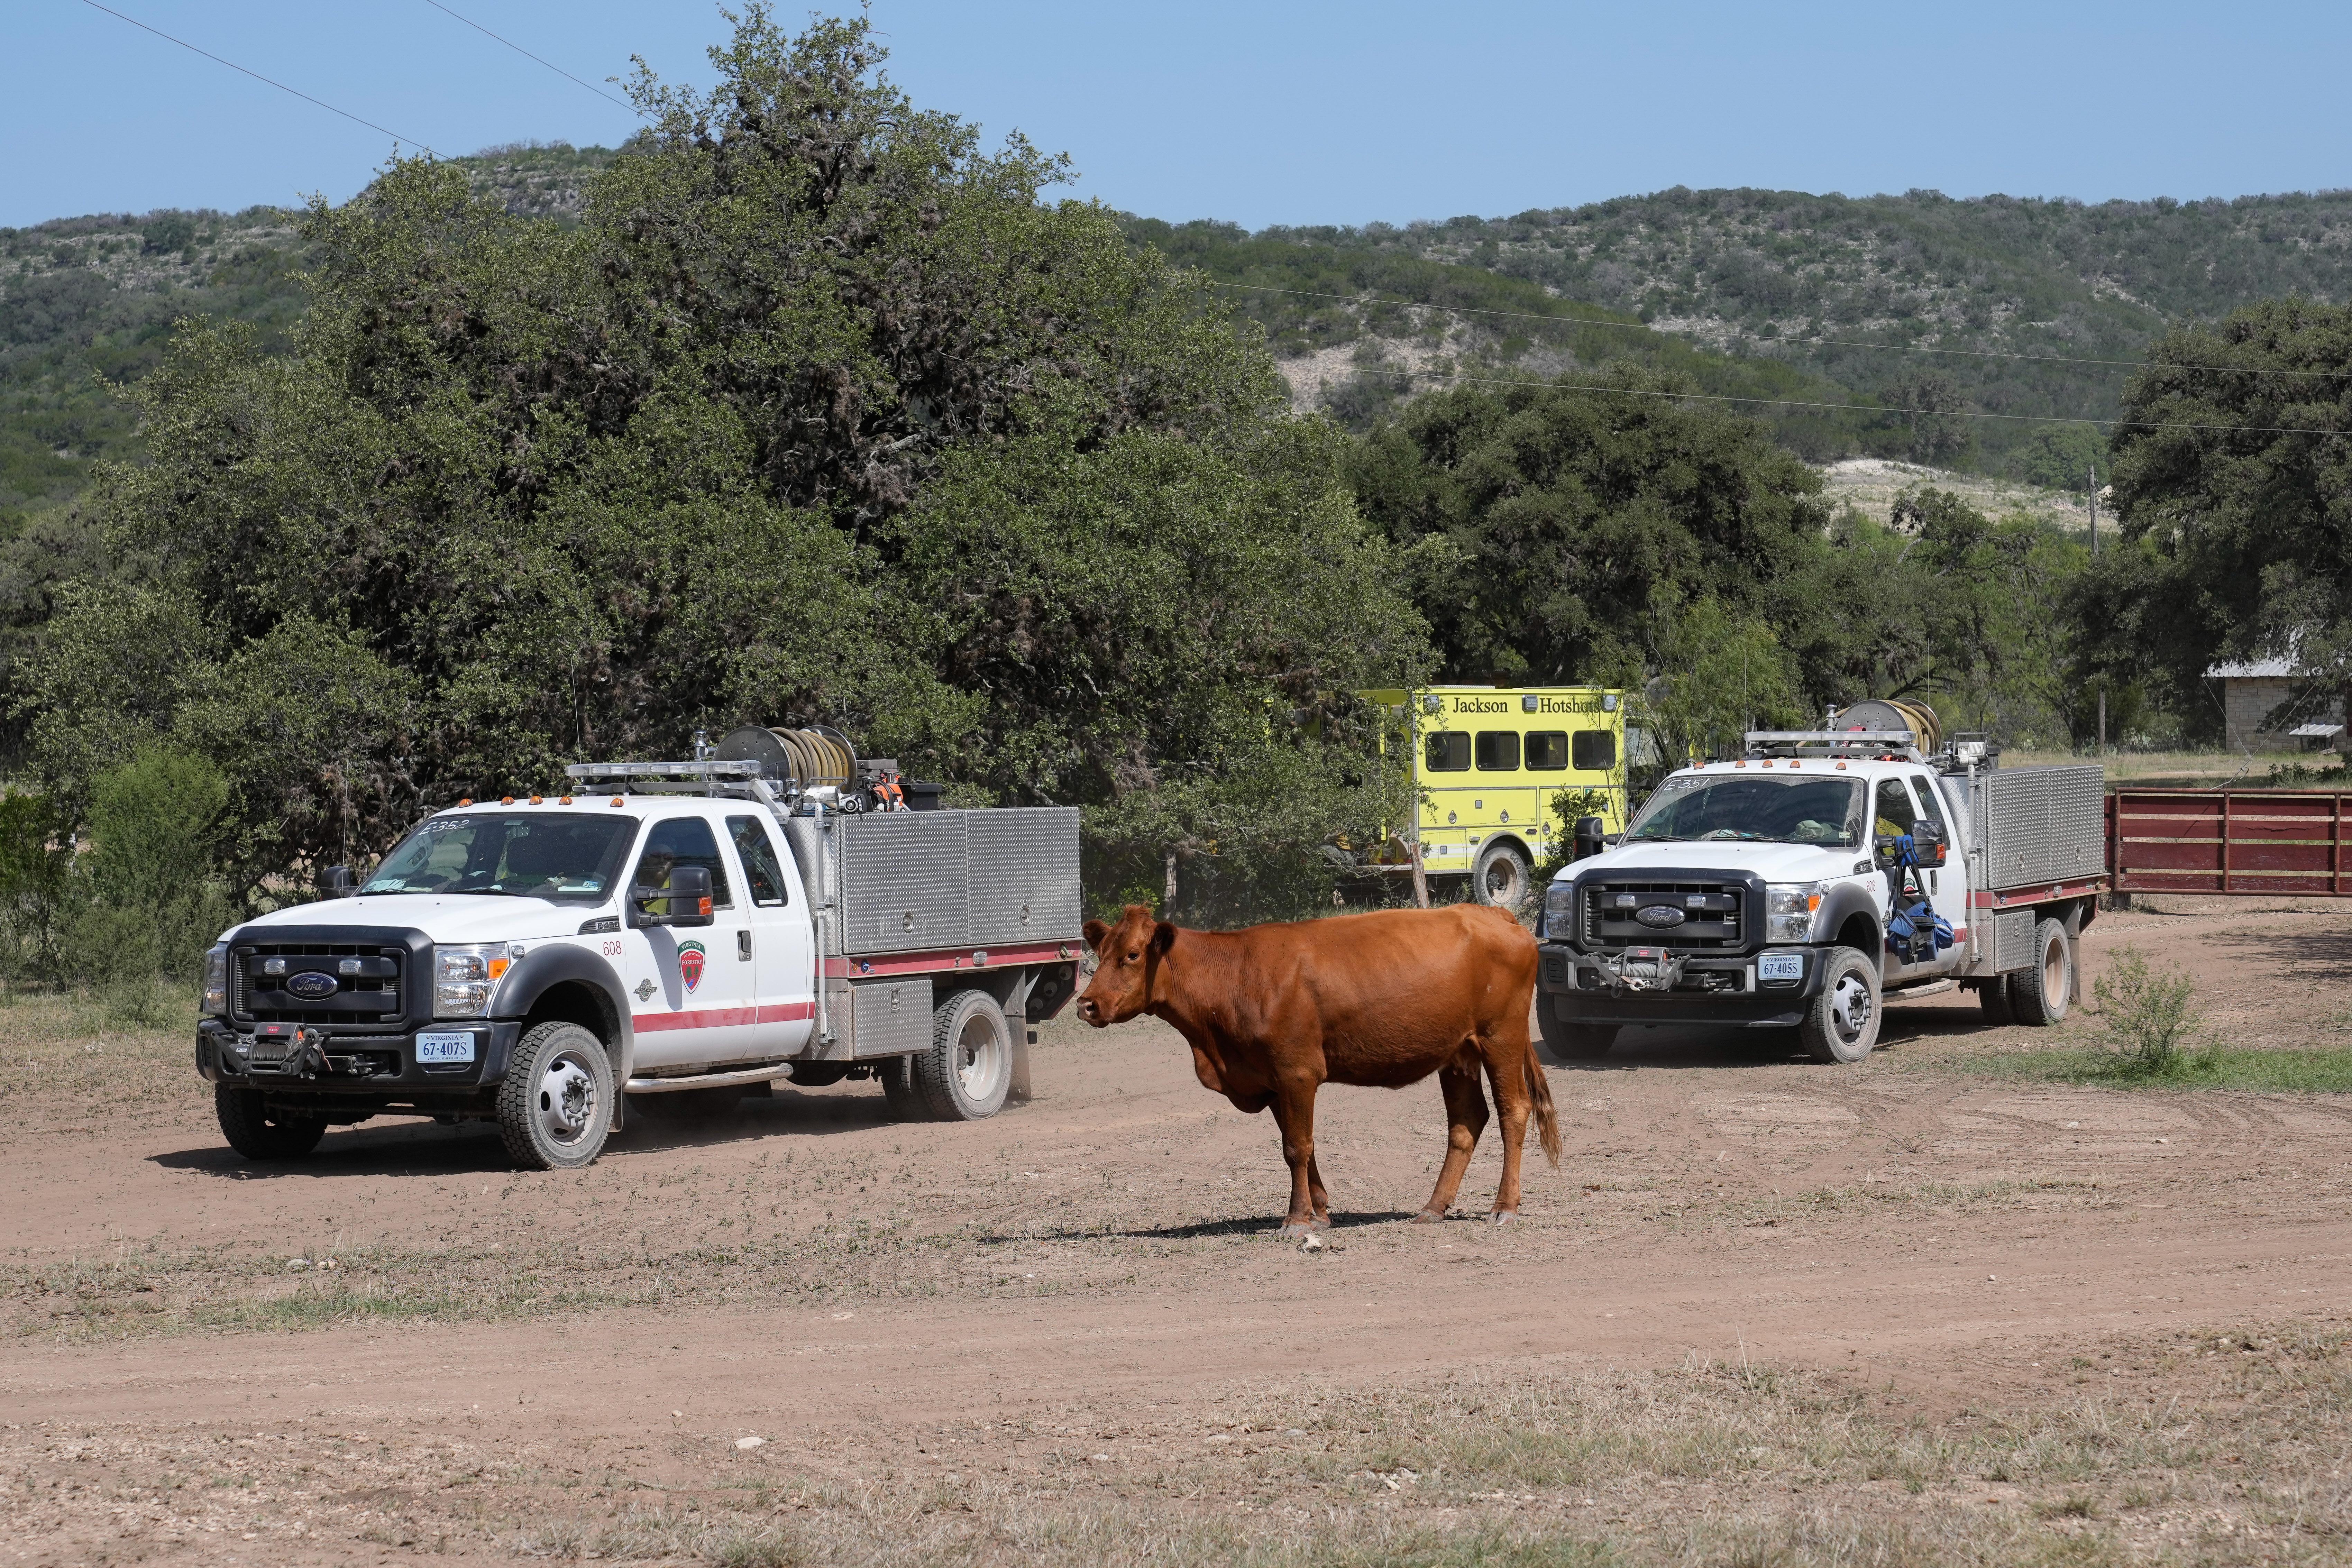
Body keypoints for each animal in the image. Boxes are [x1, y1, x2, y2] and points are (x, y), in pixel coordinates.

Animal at [1072, 907, 1552, 1241]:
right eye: (1100, 955)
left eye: (1132, 955)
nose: (1086, 1004)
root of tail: (1494, 914)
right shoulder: (1270, 1081)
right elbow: (1302, 1145)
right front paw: (1320, 1213)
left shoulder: (1298, 1071)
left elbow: (1296, 1148)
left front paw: (1297, 1219)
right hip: (1457, 1052)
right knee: (1466, 1122)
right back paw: (1433, 1207)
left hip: (1501, 1037)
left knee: (1513, 1111)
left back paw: (1505, 1207)